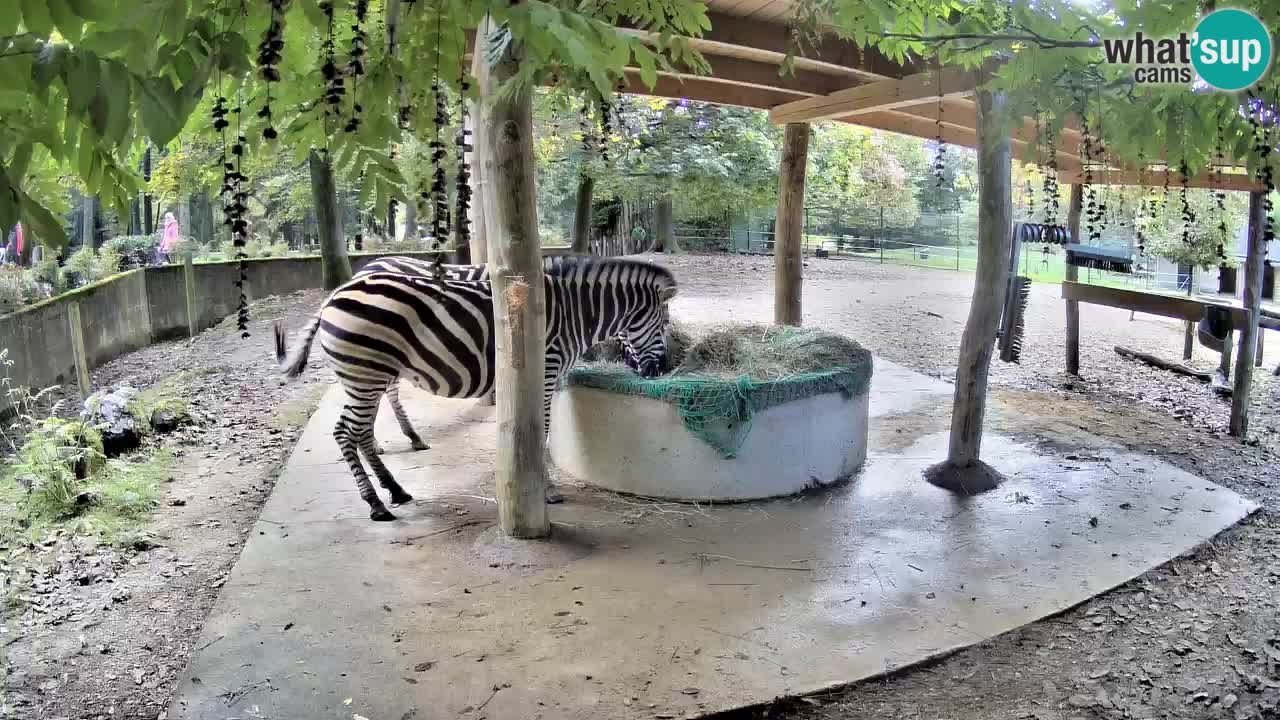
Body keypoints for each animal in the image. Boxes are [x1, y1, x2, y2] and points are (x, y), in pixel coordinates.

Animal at [273, 254, 675, 517]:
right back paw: (375, 504)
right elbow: (543, 430)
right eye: (666, 325)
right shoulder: (544, 370)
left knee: (360, 432)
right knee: (346, 431)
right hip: (367, 373)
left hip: (365, 375)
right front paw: (547, 490)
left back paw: (396, 490)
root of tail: (335, 294)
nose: (659, 371)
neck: (573, 313)